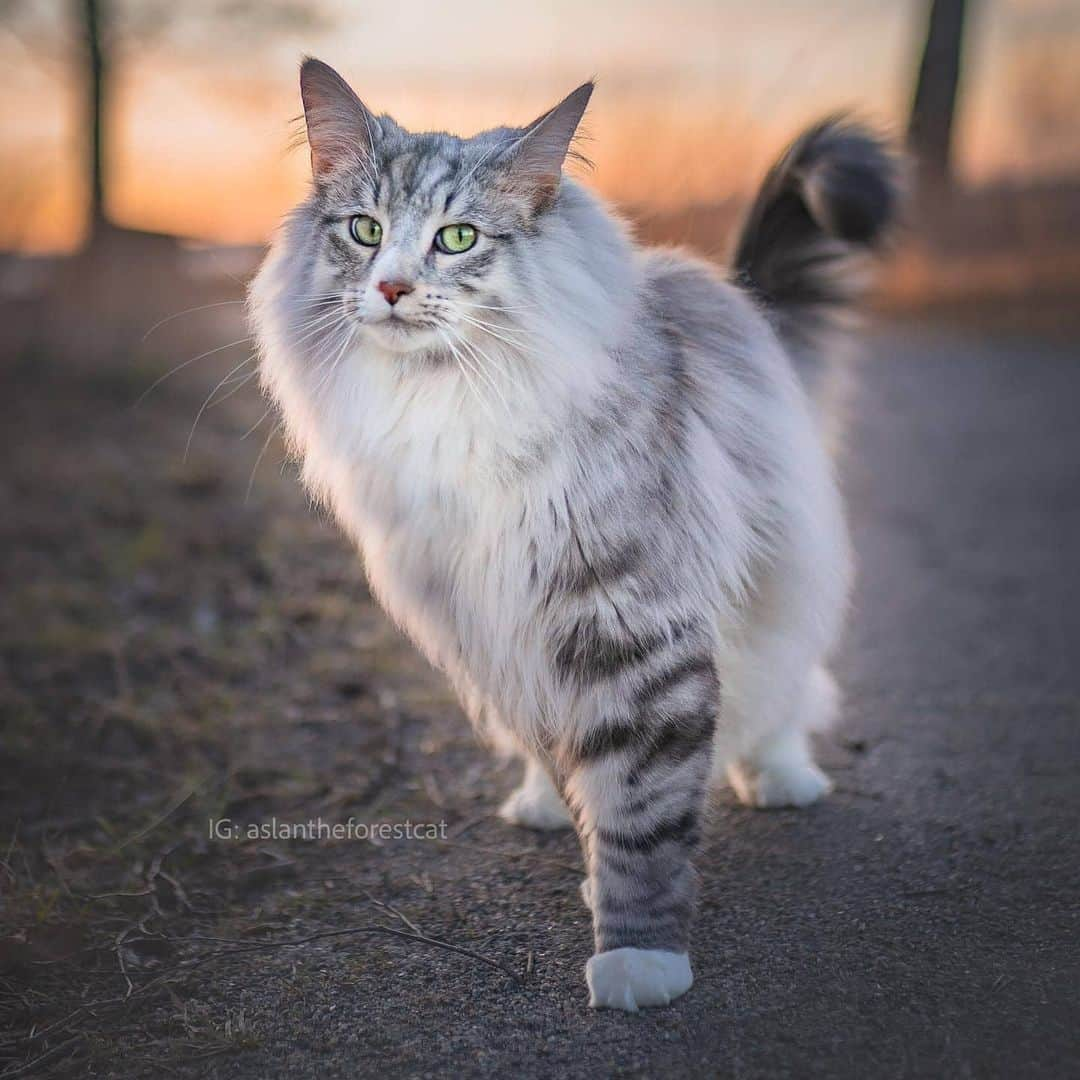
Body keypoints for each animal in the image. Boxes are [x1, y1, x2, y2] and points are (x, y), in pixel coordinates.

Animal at [248, 61, 898, 1010]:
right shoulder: (488, 612)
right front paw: (591, 861)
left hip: (782, 566)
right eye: (365, 231)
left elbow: (641, 807)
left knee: (786, 678)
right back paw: (544, 801)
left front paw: (640, 957)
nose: (393, 288)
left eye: (457, 238)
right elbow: (591, 771)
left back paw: (781, 774)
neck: (453, 402)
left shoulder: (630, 619)